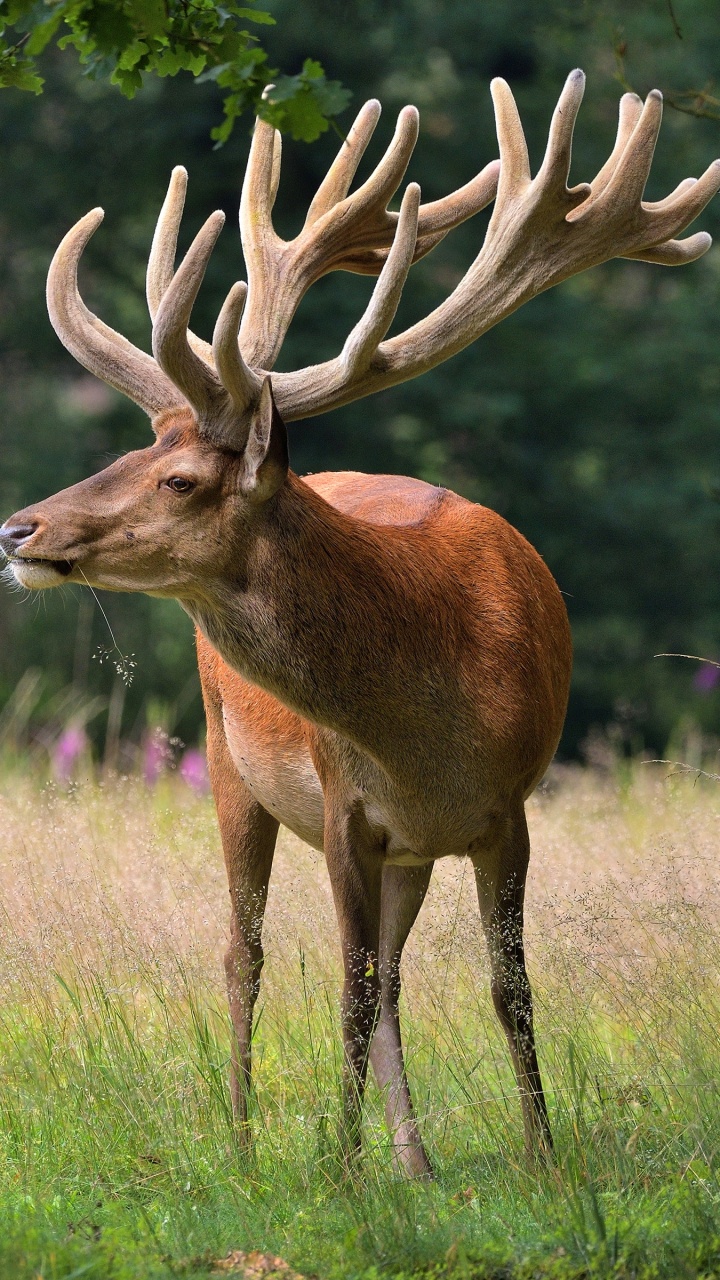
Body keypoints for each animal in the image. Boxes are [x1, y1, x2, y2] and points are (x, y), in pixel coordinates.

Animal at [1, 70, 718, 1178]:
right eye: (131, 448)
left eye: (177, 476)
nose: (19, 527)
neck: (429, 723)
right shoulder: (347, 806)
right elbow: (347, 988)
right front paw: (338, 1175)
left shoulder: (507, 809)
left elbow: (506, 989)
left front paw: (543, 1159)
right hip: (226, 757)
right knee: (245, 952)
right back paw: (247, 1143)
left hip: (402, 851)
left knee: (388, 974)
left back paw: (412, 1160)